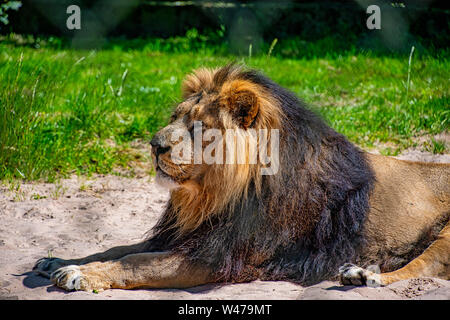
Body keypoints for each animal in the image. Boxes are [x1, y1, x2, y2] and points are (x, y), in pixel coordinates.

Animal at [33, 63, 448, 292]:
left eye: (199, 127)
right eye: (174, 118)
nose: (154, 145)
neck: (209, 196)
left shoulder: (218, 257)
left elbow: (137, 262)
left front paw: (78, 275)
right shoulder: (185, 236)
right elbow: (117, 249)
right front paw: (59, 261)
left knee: (423, 268)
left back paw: (363, 276)